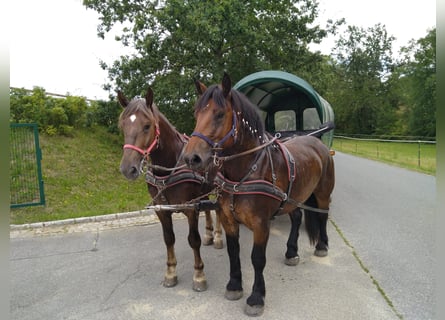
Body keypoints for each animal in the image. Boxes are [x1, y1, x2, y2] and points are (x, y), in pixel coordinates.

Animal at [118, 87, 222, 292]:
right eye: (123, 125)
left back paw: (218, 237)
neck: (170, 166)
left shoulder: (190, 208)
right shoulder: (161, 209)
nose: (128, 169)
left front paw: (199, 275)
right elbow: (169, 238)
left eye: (147, 126)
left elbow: (193, 240)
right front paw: (171, 272)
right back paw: (209, 234)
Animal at [182, 74, 334, 316]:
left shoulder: (261, 223)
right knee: (297, 217)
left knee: (322, 215)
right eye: (197, 114)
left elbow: (257, 258)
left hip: (322, 193)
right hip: (293, 197)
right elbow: (233, 251)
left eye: (219, 113)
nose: (191, 158)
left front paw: (256, 297)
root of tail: (315, 139)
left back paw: (322, 245)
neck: (246, 170)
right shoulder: (228, 219)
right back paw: (291, 251)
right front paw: (234, 285)